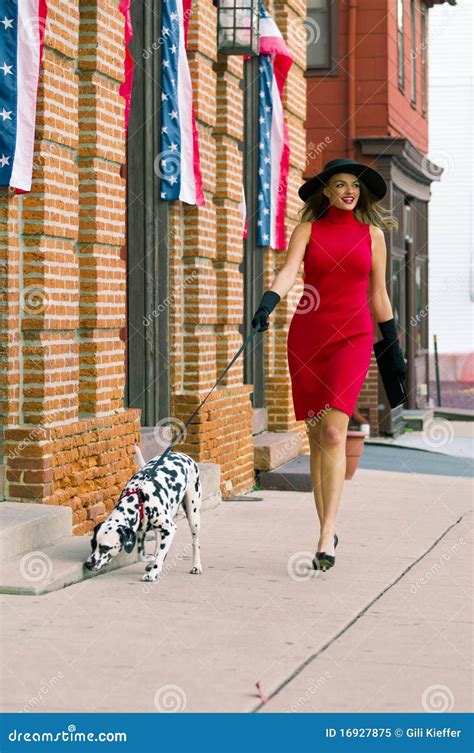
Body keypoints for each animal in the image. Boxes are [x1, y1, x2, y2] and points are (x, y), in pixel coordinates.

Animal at [84, 446, 203, 580]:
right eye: (92, 544)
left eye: (105, 547)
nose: (88, 564)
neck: (138, 500)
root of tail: (183, 455)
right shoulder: (140, 531)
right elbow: (142, 555)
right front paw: (151, 559)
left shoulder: (170, 528)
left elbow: (161, 555)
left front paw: (153, 573)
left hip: (193, 516)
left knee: (195, 542)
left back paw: (196, 566)